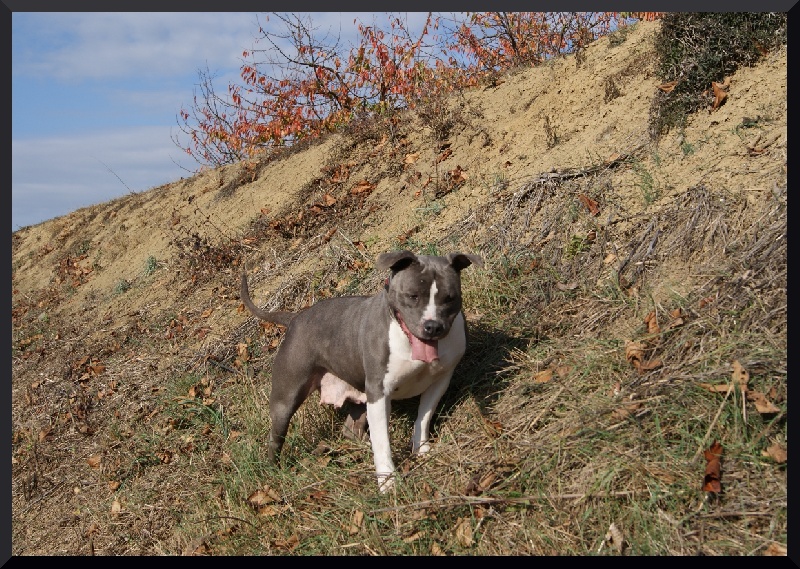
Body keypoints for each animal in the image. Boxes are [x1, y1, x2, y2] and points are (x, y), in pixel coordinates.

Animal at [241, 251, 482, 490]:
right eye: (412, 296)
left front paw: (421, 449)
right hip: (286, 399)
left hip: (359, 394)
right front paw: (388, 482)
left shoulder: (439, 381)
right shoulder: (379, 392)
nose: (433, 326)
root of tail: (295, 318)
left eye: (450, 298)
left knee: (350, 429)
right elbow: (383, 441)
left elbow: (423, 417)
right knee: (276, 437)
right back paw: (273, 471)